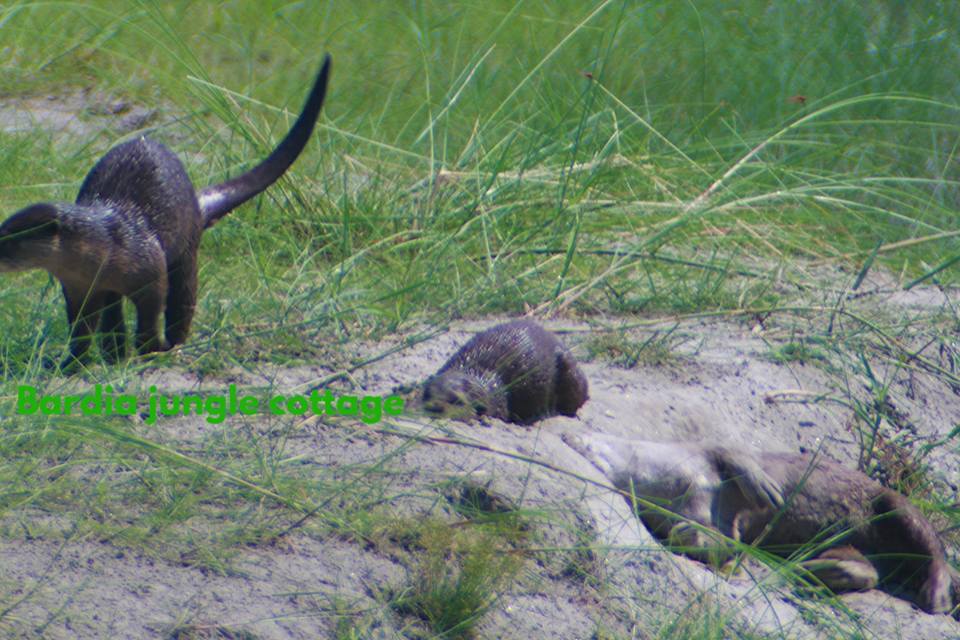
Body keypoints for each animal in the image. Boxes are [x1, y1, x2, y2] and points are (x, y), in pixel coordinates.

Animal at [0, 53, 334, 370]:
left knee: (183, 297)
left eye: (11, 239)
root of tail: (197, 204)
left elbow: (151, 311)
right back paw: (115, 354)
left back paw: (173, 344)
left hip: (186, 249)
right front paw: (71, 364)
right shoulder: (78, 289)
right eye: (1, 231)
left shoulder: (149, 269)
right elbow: (81, 329)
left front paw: (151, 349)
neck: (108, 247)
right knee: (113, 314)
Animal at [568, 430, 956, 616]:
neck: (676, 482)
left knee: (934, 550)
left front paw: (766, 489)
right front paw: (702, 544)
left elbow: (733, 454)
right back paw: (817, 569)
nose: (569, 438)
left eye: (589, 436)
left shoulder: (702, 452)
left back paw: (936, 595)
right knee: (871, 572)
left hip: (896, 505)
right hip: (856, 547)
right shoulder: (697, 517)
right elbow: (718, 541)